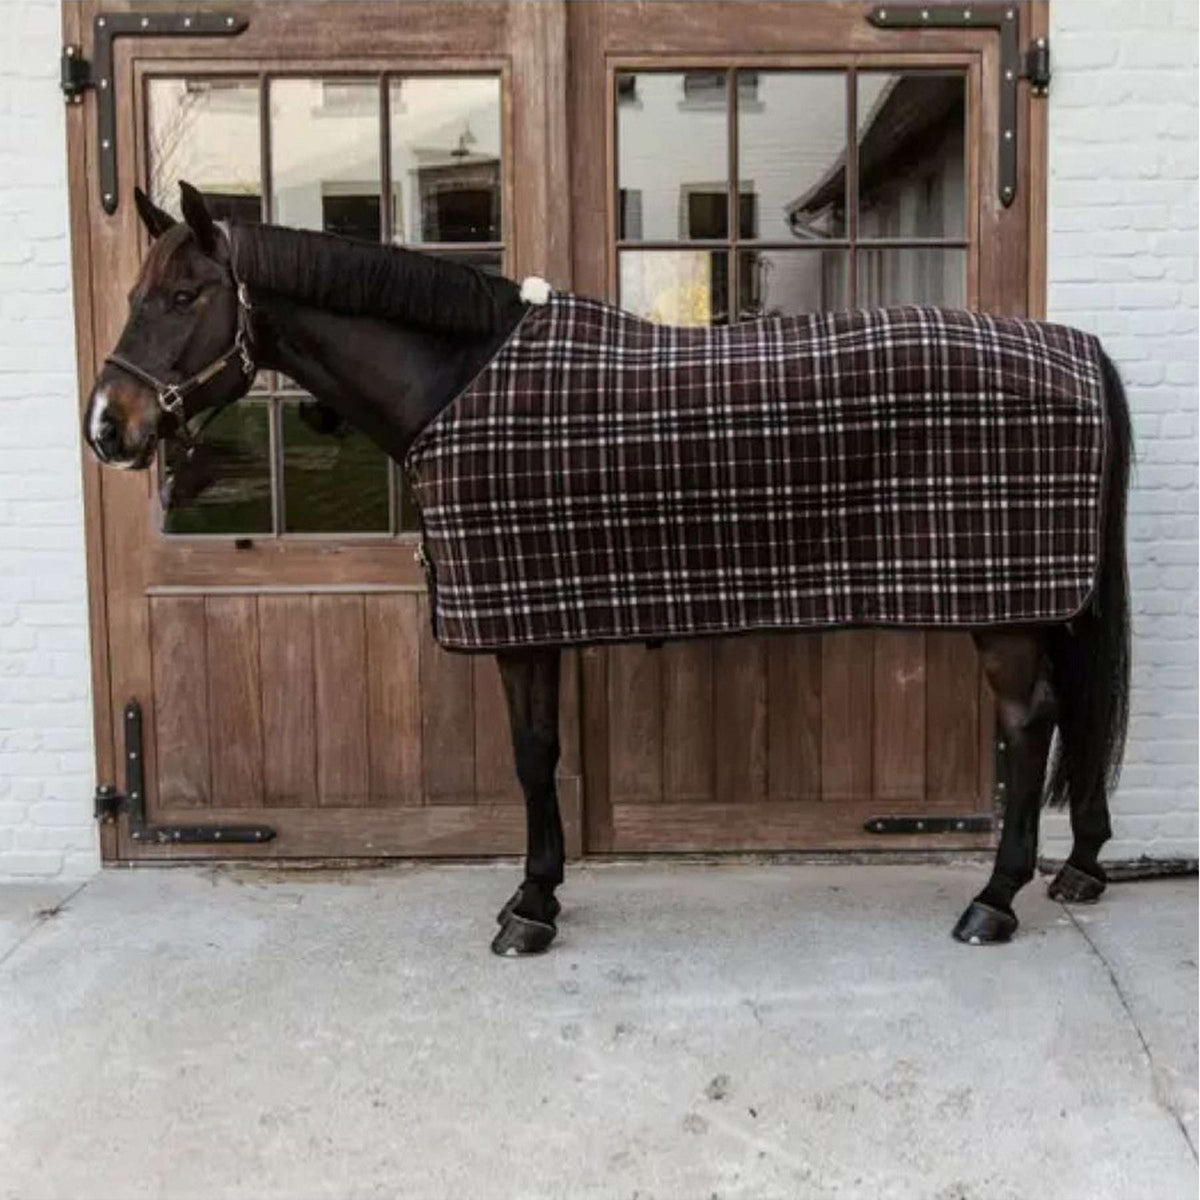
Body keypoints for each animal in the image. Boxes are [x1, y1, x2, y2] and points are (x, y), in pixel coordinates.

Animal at [84, 184, 1132, 955]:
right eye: (135, 293)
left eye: (184, 297)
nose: (107, 427)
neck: (460, 383)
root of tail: (1079, 350)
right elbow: (541, 752)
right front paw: (539, 893)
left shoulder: (519, 625)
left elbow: (532, 756)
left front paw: (529, 908)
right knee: (1074, 712)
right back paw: (1080, 866)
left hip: (1005, 609)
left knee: (1030, 721)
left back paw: (995, 899)